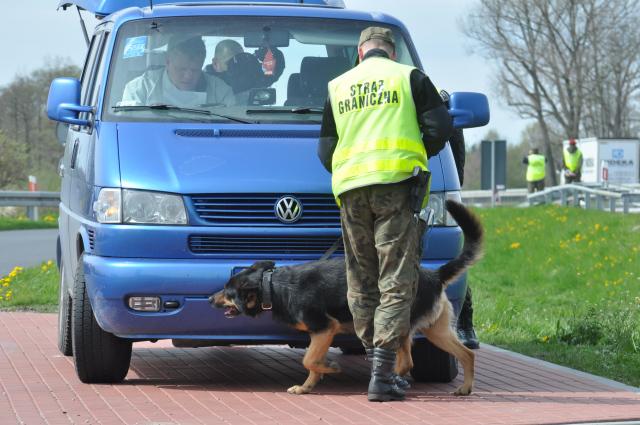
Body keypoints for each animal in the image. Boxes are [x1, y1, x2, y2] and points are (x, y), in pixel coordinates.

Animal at [209, 200, 483, 396]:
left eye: (227, 291)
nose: (211, 299)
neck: (271, 285)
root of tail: (434, 275)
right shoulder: (319, 334)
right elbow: (311, 363)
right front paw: (307, 387)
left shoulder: (324, 328)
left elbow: (309, 360)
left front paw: (328, 368)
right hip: (435, 330)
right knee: (464, 355)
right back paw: (463, 388)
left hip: (397, 323)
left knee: (407, 362)